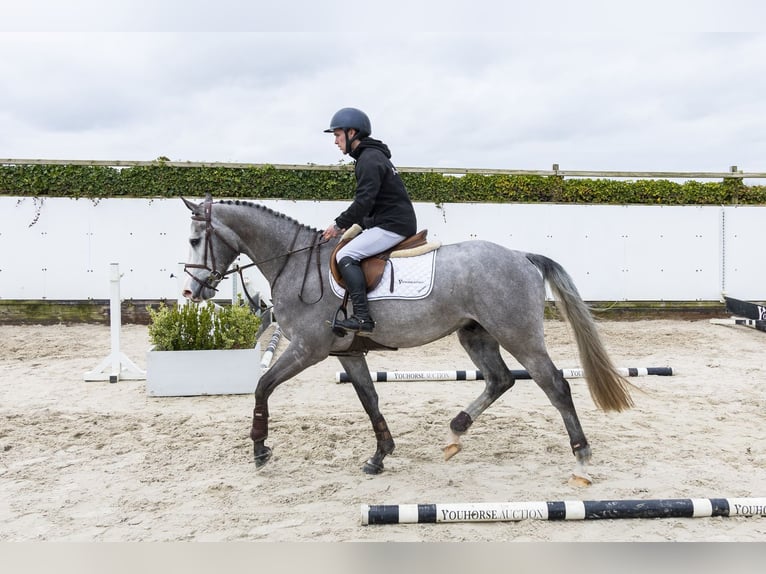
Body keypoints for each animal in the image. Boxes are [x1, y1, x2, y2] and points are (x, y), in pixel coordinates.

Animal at [181, 195, 634, 485]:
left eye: (194, 240)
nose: (191, 292)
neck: (295, 262)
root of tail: (522, 256)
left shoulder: (307, 349)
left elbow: (262, 386)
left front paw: (260, 450)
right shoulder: (347, 354)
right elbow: (369, 400)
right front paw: (380, 455)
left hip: (517, 334)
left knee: (554, 385)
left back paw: (580, 461)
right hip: (476, 334)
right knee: (500, 380)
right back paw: (454, 433)